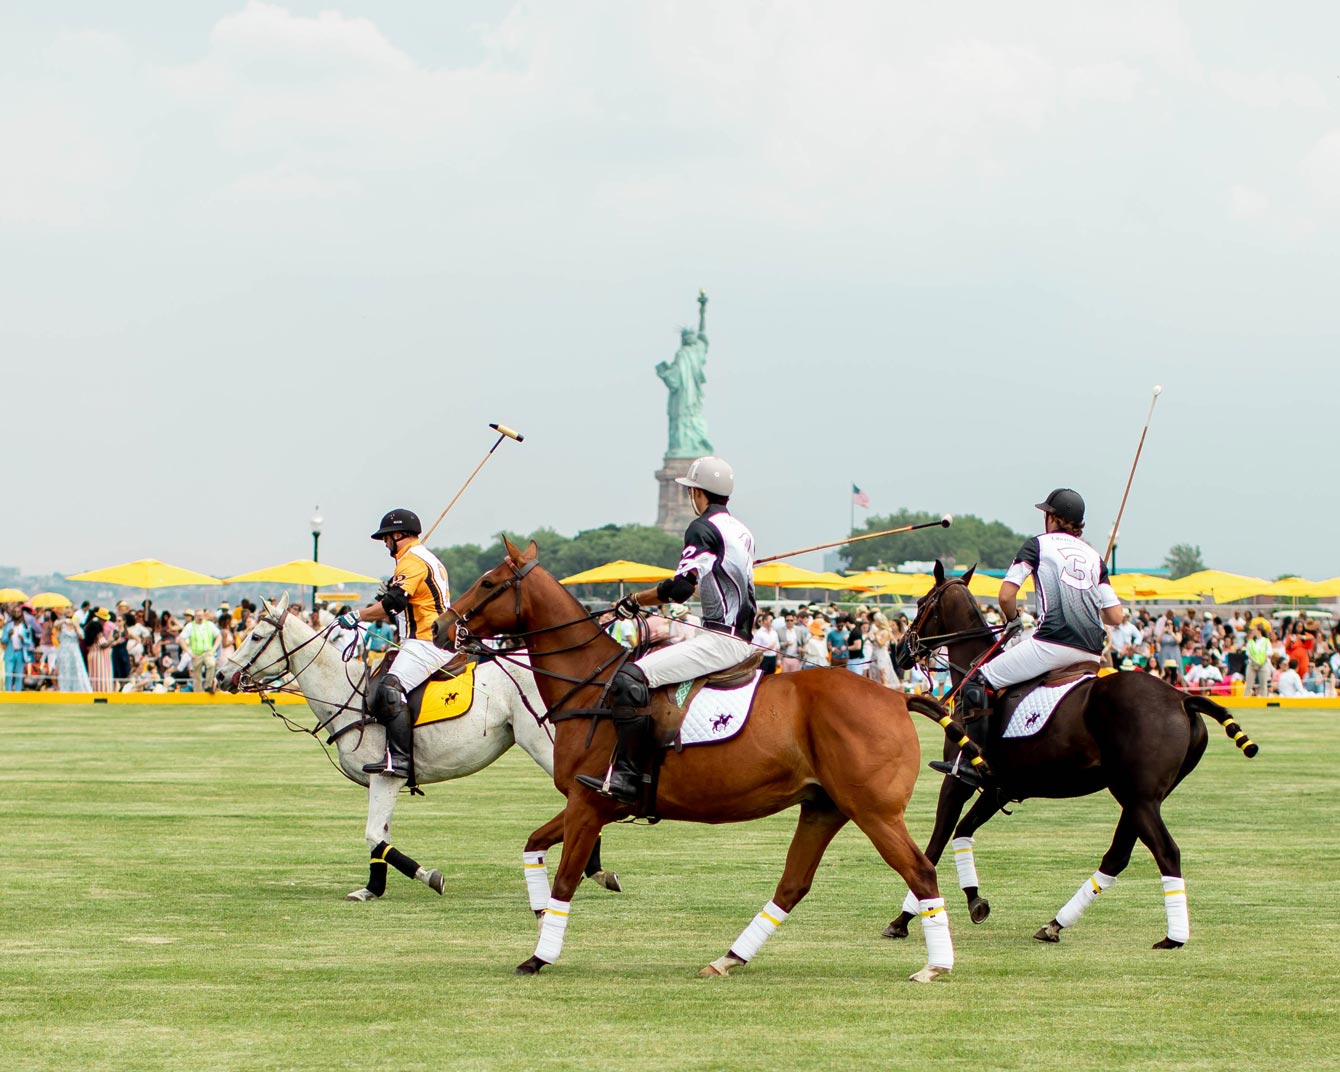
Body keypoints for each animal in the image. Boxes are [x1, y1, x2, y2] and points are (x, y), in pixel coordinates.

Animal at [217, 594, 619, 905]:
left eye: (256, 635)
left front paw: (429, 876)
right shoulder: (382, 781)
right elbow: (380, 836)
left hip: (544, 742)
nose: (221, 675)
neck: (346, 695)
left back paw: (596, 869)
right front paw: (371, 889)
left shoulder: (386, 774)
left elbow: (373, 835)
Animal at [434, 541, 970, 986]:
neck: (591, 688)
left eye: (488, 582)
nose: (440, 626)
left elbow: (566, 879)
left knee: (920, 871)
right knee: (793, 884)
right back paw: (728, 958)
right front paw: (542, 916)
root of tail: (897, 697)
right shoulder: (589, 802)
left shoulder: (591, 802)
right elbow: (534, 845)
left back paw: (936, 965)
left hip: (874, 810)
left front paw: (538, 956)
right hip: (824, 806)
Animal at [889, 560, 1254, 948]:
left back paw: (1173, 938)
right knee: (1117, 856)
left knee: (1166, 852)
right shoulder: (999, 788)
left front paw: (903, 919)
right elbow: (962, 832)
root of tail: (1182, 698)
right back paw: (1055, 924)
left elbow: (935, 844)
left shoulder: (958, 779)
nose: (900, 651)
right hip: (1141, 796)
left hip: (1138, 796)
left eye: (921, 604)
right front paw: (975, 899)